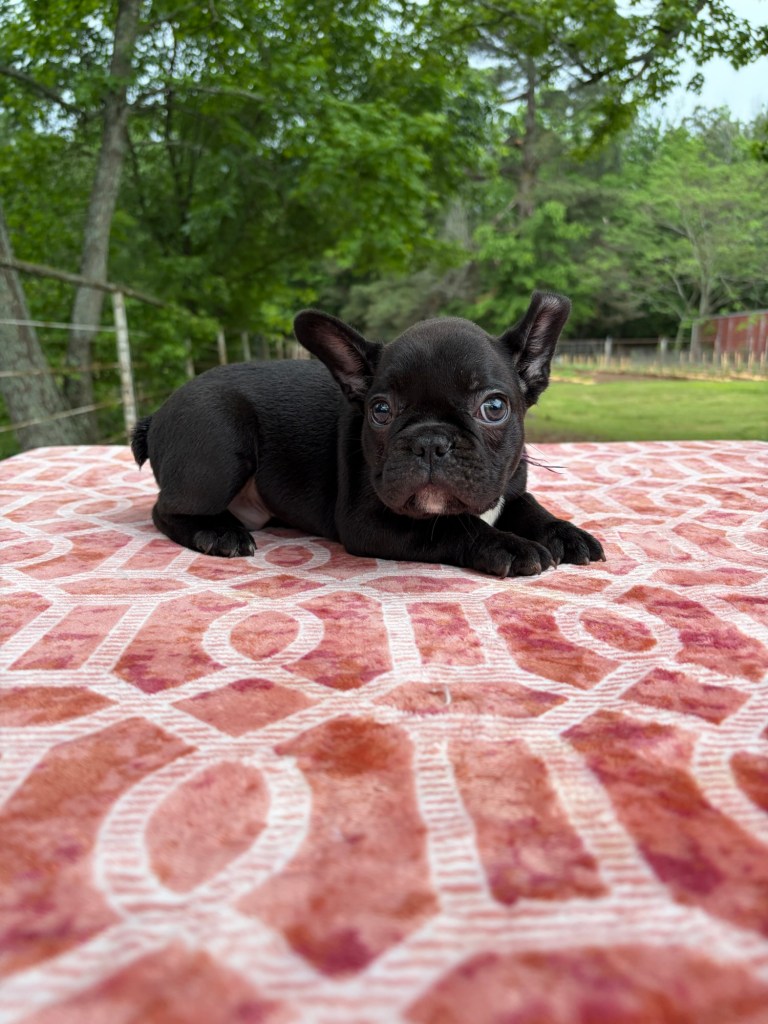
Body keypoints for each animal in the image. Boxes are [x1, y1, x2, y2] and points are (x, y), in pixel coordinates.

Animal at [131, 291, 604, 577]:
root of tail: (157, 414)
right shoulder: (369, 522)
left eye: (494, 407)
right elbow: (455, 527)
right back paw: (218, 533)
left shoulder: (510, 486)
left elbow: (530, 506)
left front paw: (565, 533)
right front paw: (509, 545)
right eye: (380, 411)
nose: (430, 442)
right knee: (165, 510)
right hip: (221, 440)